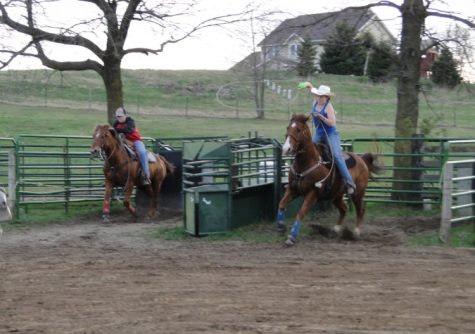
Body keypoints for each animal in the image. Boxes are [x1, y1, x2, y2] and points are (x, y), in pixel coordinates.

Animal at [278, 113, 384, 247]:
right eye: (287, 128)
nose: (286, 148)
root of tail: (361, 160)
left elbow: (301, 212)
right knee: (344, 209)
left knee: (360, 210)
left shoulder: (313, 193)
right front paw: (280, 226)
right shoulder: (293, 189)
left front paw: (291, 237)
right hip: (336, 195)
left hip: (358, 193)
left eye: (298, 129)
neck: (307, 162)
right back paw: (336, 229)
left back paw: (356, 232)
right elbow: (281, 203)